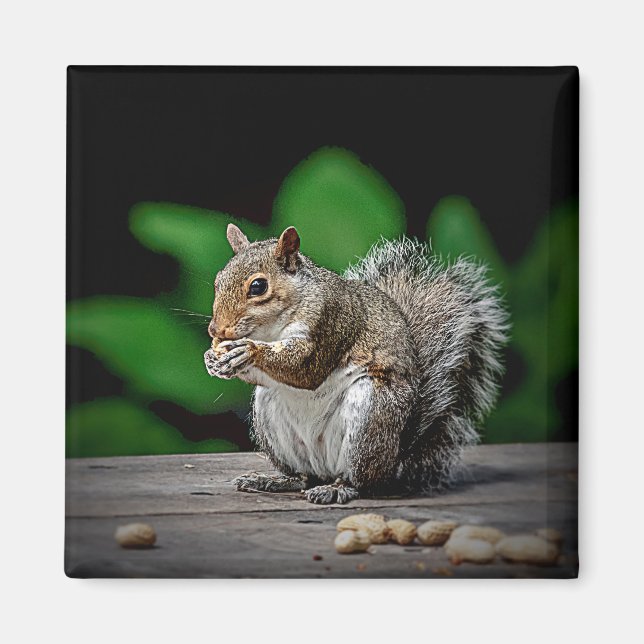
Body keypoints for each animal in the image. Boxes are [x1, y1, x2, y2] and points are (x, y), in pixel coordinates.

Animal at [204, 224, 509, 504]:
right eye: (218, 280)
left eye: (258, 286)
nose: (215, 330)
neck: (270, 329)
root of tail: (395, 458)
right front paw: (213, 360)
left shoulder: (331, 321)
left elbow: (305, 369)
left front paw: (248, 350)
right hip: (271, 414)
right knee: (303, 476)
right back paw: (275, 480)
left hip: (370, 416)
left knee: (360, 481)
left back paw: (337, 489)